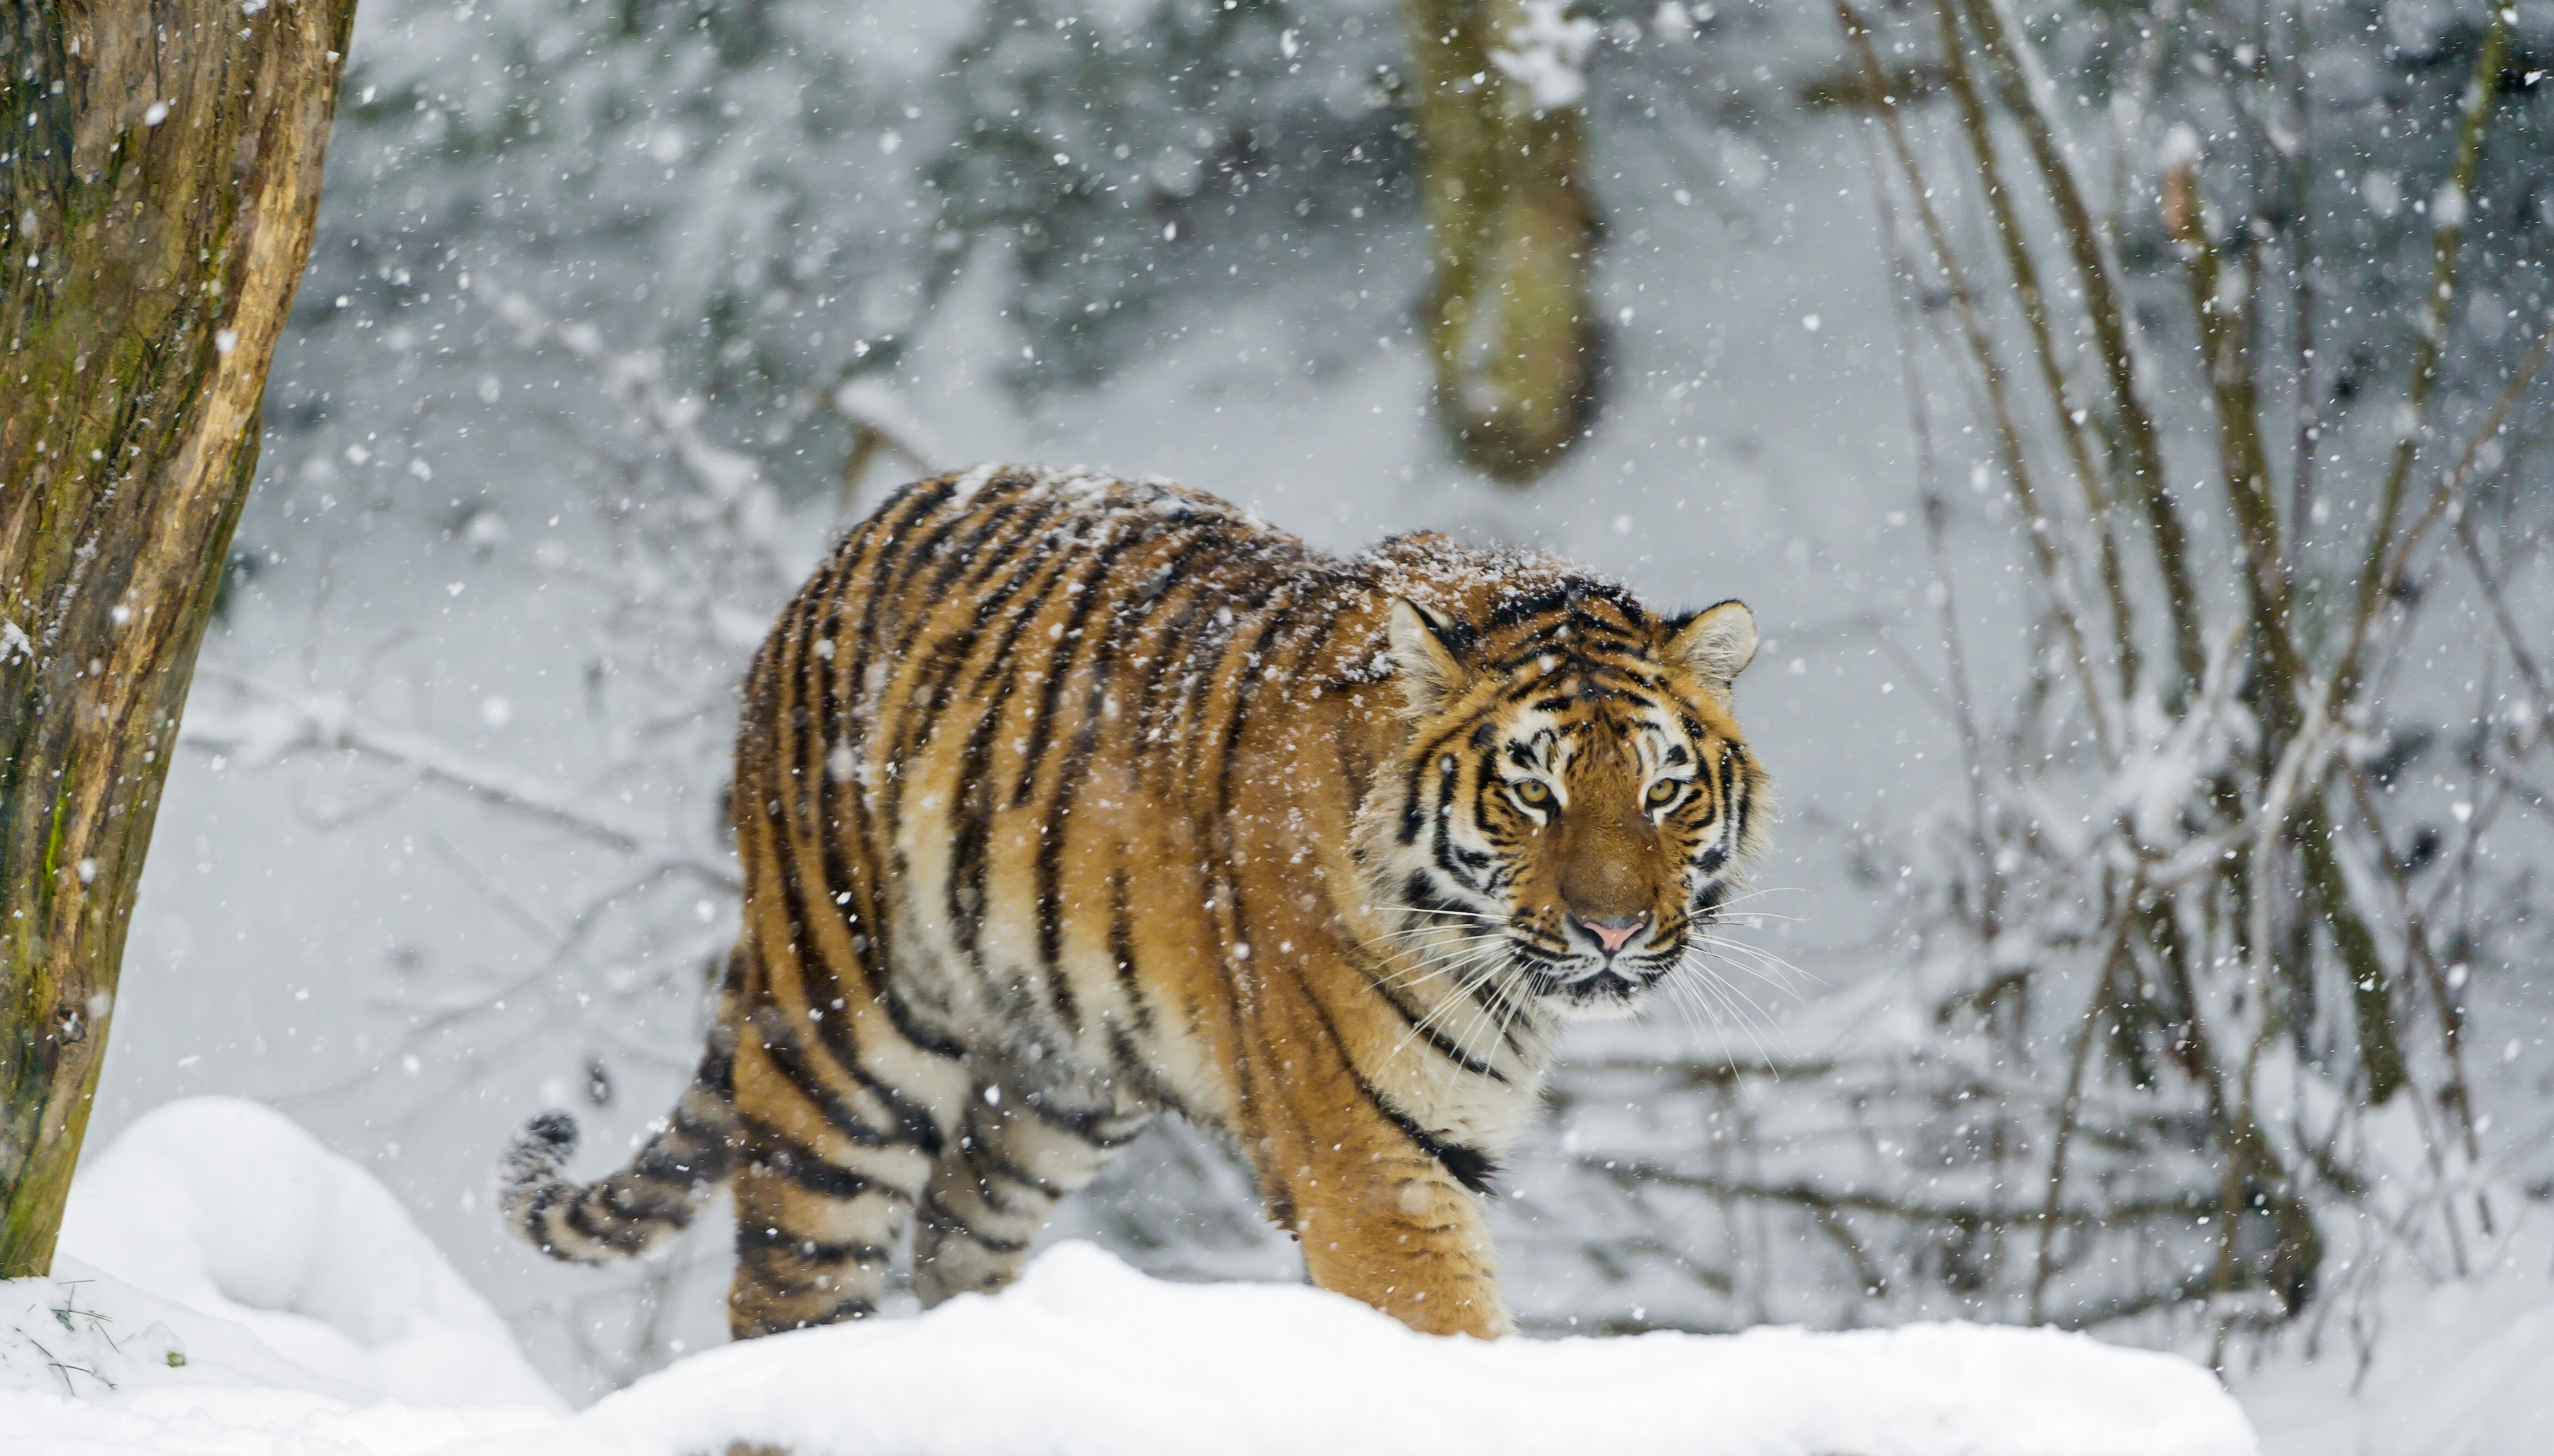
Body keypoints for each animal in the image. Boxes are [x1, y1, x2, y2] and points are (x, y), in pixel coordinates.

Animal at [506, 465, 1767, 1338]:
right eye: (1531, 792)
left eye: (1662, 790)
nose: (1612, 928)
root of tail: (832, 561)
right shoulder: (1374, 1169)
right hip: (843, 1052)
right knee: (787, 1295)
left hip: (1049, 1090)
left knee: (954, 1237)